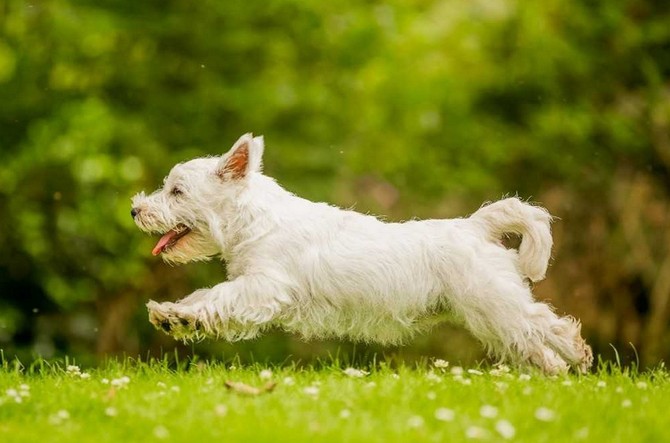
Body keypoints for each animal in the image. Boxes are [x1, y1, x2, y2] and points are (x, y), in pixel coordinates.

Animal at [131, 133, 592, 374]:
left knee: (547, 325)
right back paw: (556, 373)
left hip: (494, 302)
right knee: (531, 343)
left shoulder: (263, 286)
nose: (135, 209)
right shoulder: (252, 286)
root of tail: (475, 226)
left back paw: (579, 356)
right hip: (490, 317)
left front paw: (180, 314)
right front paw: (171, 314)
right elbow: (203, 297)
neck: (254, 219)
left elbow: (216, 297)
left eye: (177, 191)